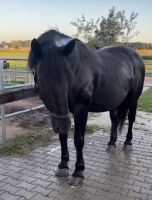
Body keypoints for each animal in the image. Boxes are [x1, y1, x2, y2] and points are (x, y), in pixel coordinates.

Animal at [28, 29, 145, 184]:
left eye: (68, 75)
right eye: (40, 80)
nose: (63, 125)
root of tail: (135, 55)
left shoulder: (81, 109)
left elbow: (78, 140)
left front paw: (78, 171)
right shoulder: (61, 114)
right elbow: (62, 137)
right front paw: (63, 165)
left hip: (133, 99)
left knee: (131, 119)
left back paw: (127, 143)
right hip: (114, 100)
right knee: (114, 120)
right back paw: (111, 144)